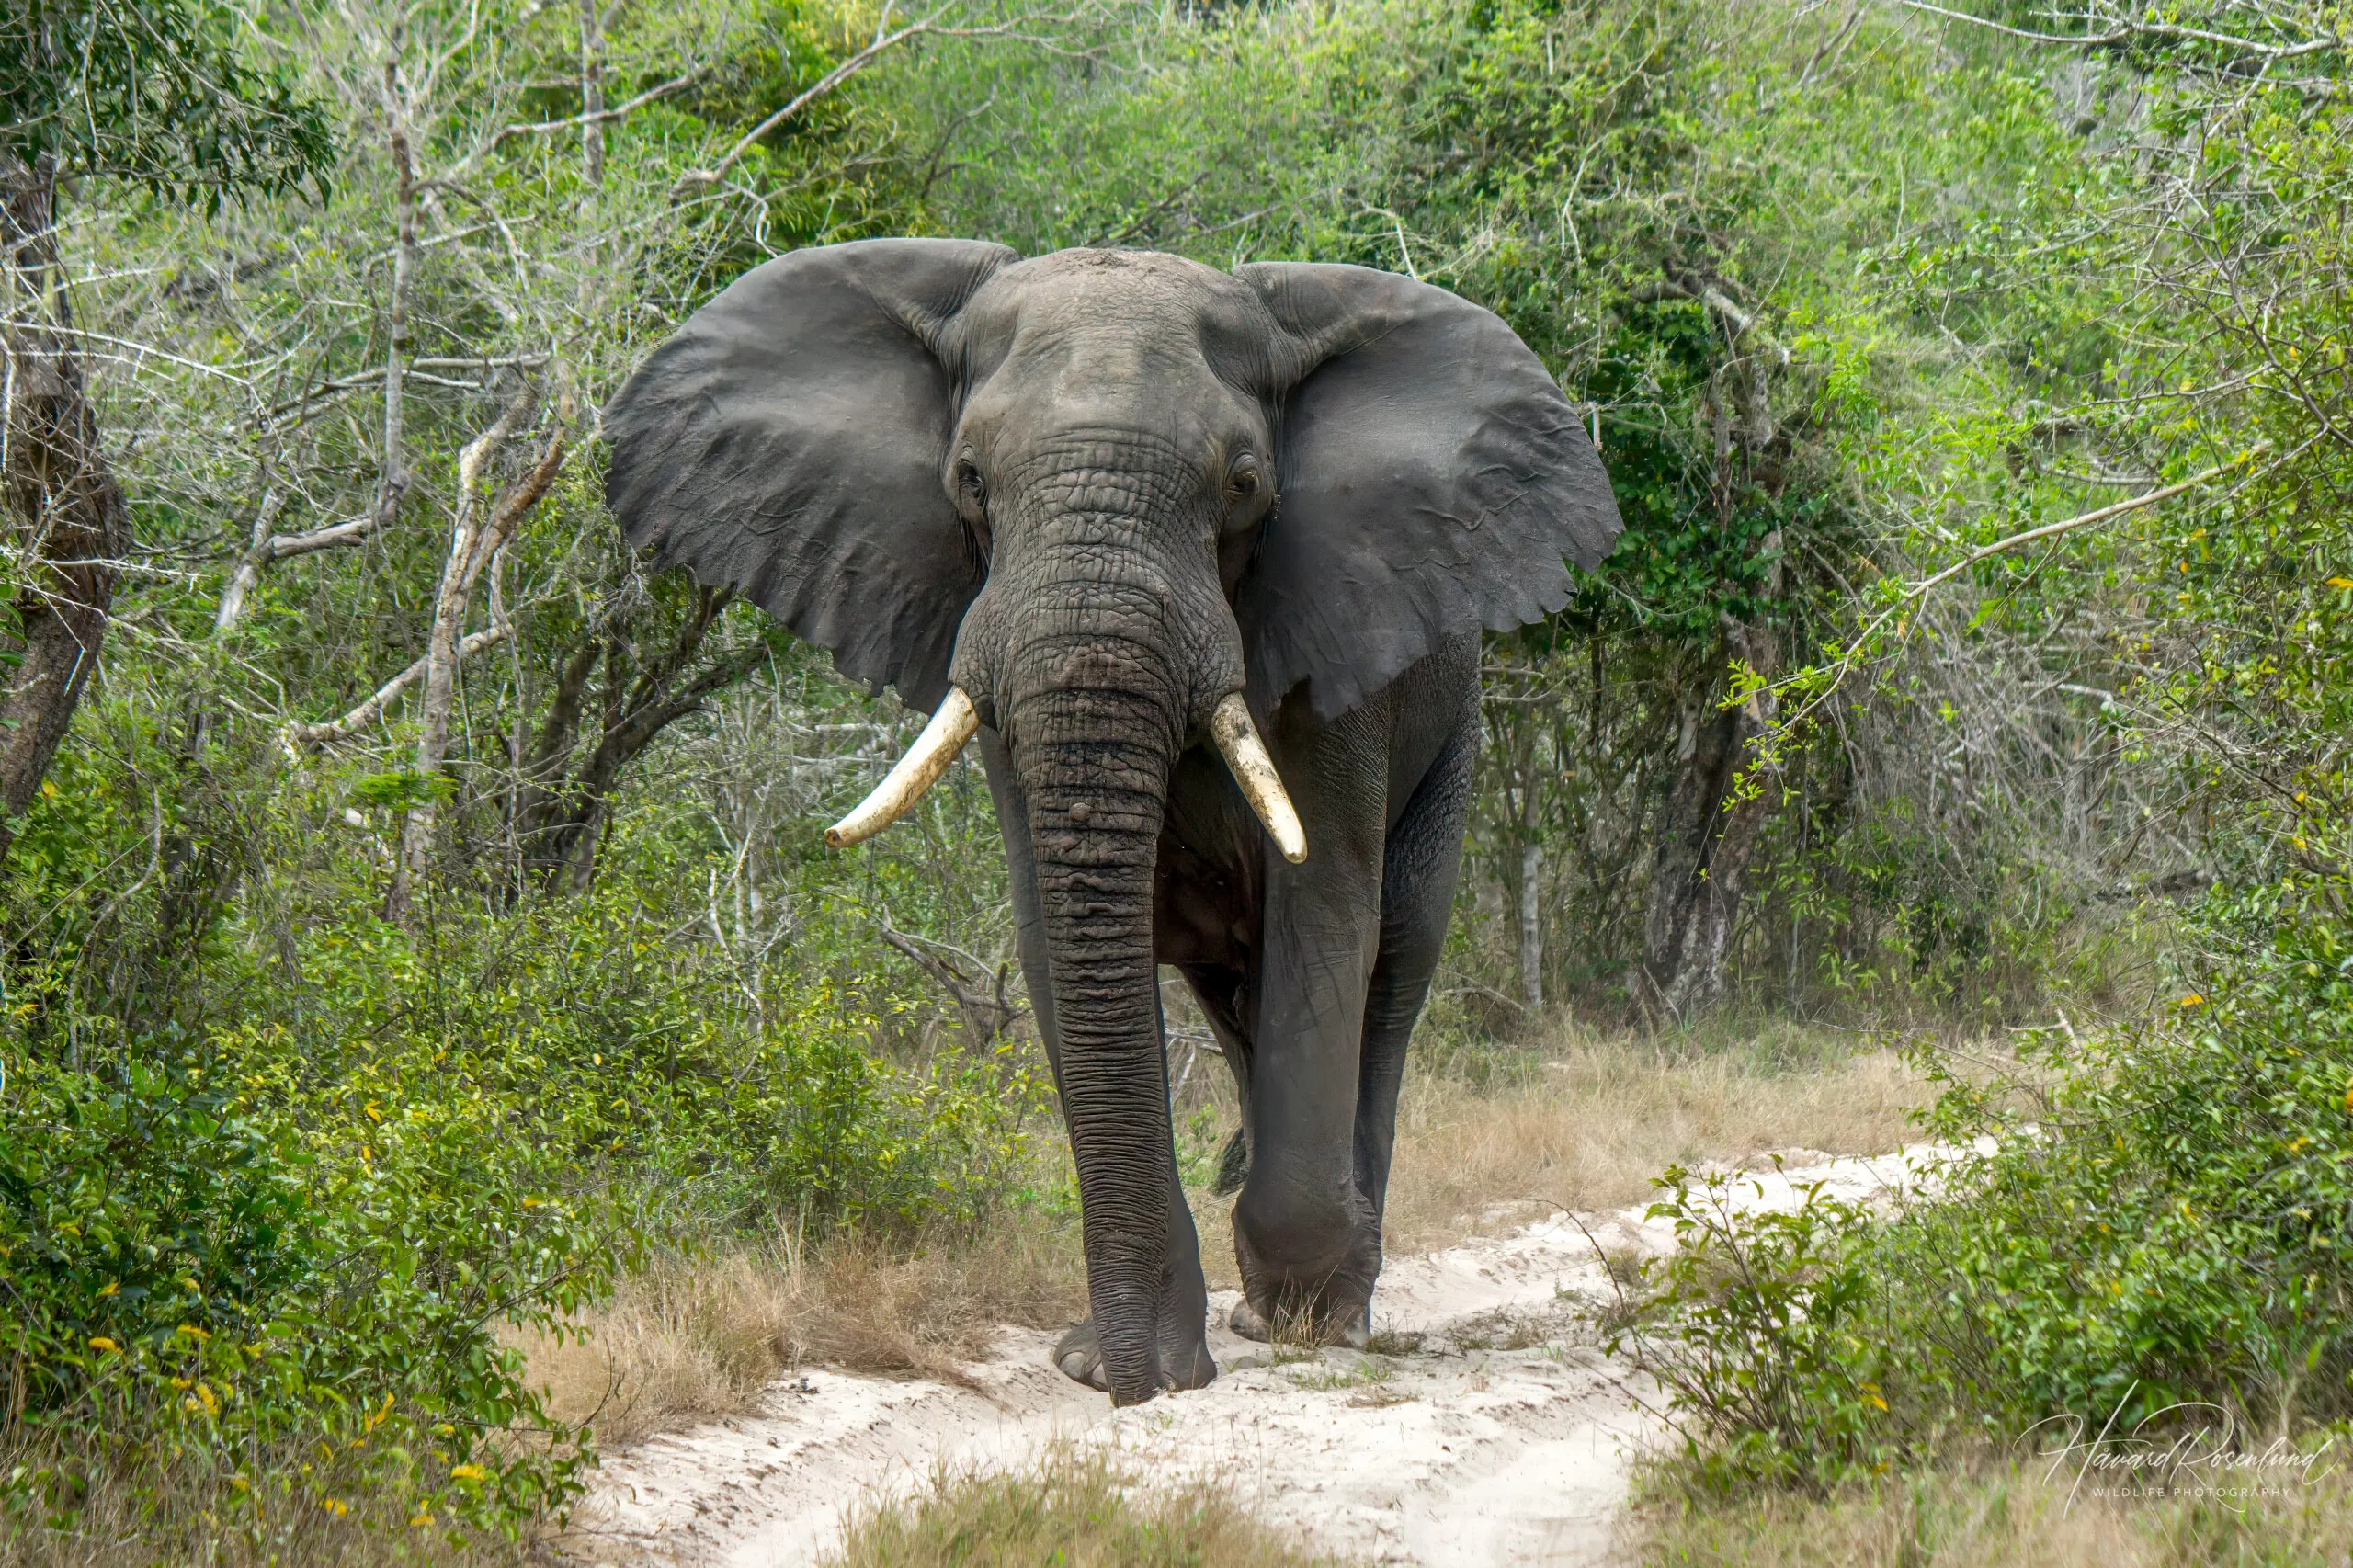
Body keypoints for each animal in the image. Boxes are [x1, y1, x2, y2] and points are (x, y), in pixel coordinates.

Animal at [602, 237, 1619, 1393]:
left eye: (1243, 483)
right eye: (970, 479)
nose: (1140, 1389)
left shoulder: (1335, 654)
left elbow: (1324, 916)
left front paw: (1290, 1319)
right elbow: (1056, 933)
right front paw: (1112, 1362)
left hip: (1450, 738)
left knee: (1390, 970)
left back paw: (1324, 1309)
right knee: (1235, 999)